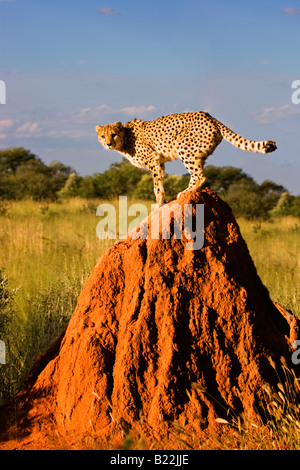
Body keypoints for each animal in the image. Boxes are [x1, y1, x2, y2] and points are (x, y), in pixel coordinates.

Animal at [96, 112, 276, 207]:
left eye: (114, 134)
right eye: (103, 136)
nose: (108, 143)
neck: (125, 137)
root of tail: (210, 116)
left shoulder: (152, 159)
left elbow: (156, 184)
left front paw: (158, 203)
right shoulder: (159, 161)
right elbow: (160, 181)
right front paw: (162, 200)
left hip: (184, 147)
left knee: (200, 176)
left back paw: (186, 192)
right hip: (197, 153)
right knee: (198, 173)